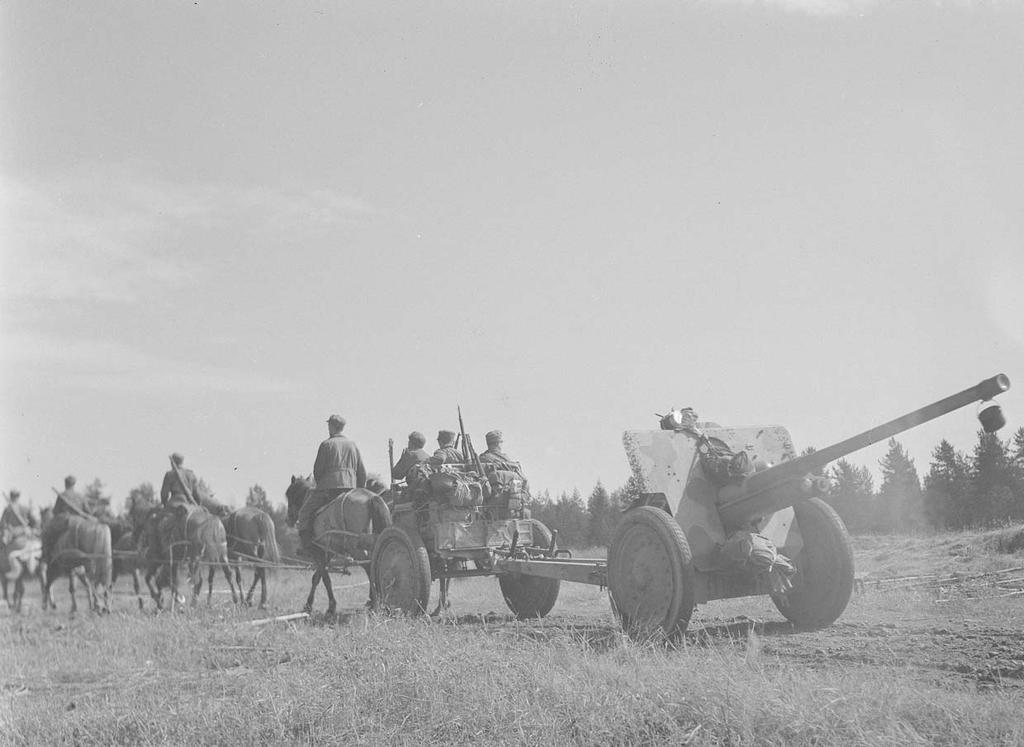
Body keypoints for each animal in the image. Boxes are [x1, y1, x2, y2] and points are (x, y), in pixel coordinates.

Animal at [284, 475, 391, 614]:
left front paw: (330, 606)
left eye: (289, 494)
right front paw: (309, 604)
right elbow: (316, 577)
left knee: (369, 566)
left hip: (356, 548)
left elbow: (325, 579)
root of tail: (371, 497)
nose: (288, 519)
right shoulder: (327, 553)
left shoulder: (318, 552)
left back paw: (374, 601)